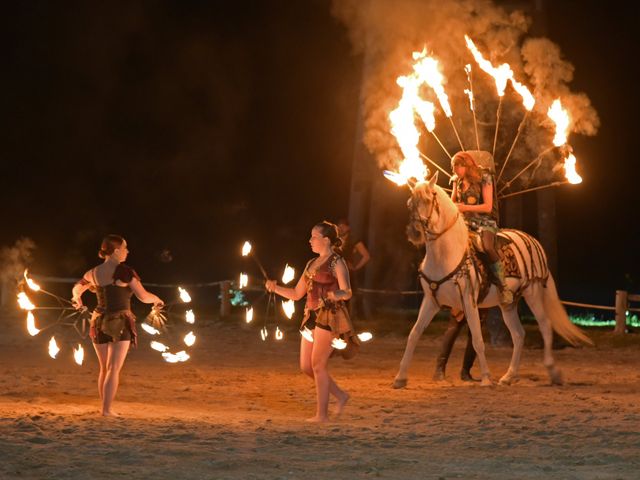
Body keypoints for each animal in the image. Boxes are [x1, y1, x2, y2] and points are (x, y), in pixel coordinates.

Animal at [392, 174, 592, 388]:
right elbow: (414, 334)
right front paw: (400, 378)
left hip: (534, 292)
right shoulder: (431, 301)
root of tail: (533, 241)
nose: (414, 234)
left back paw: (553, 372)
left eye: (428, 200)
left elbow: (478, 339)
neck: (447, 254)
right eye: (409, 203)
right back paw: (509, 376)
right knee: (519, 335)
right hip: (508, 304)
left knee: (545, 326)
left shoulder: (469, 301)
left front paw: (486, 378)